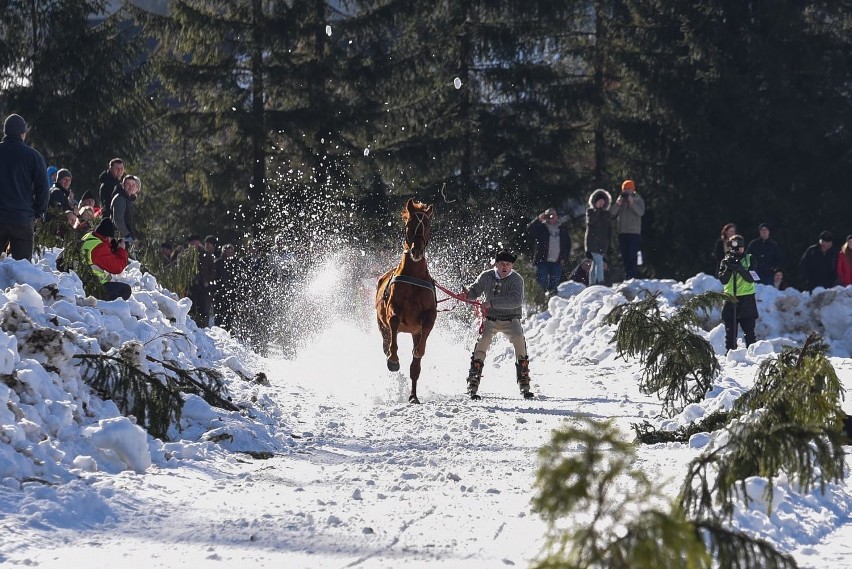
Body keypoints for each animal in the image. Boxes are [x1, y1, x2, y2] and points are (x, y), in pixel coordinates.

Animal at [374, 200, 436, 404]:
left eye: (427, 225)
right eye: (409, 223)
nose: (416, 250)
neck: (414, 275)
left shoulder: (428, 315)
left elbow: (426, 330)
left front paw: (419, 351)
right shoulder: (393, 309)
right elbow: (393, 321)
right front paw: (393, 359)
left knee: (415, 369)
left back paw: (413, 396)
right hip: (381, 326)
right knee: (386, 340)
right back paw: (390, 358)